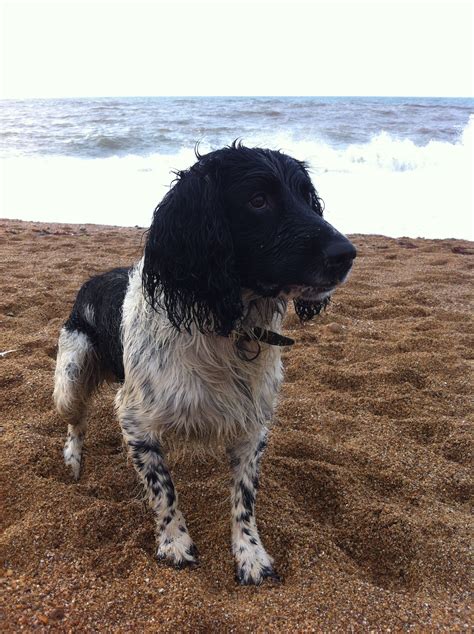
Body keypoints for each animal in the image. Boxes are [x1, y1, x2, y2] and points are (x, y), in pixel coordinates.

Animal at [52, 143, 356, 584]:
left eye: (306, 197)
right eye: (258, 200)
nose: (346, 254)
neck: (225, 323)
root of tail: (90, 282)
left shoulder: (252, 425)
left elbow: (244, 498)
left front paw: (250, 554)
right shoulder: (135, 420)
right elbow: (163, 490)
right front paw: (174, 543)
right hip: (71, 378)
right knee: (76, 421)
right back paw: (74, 459)